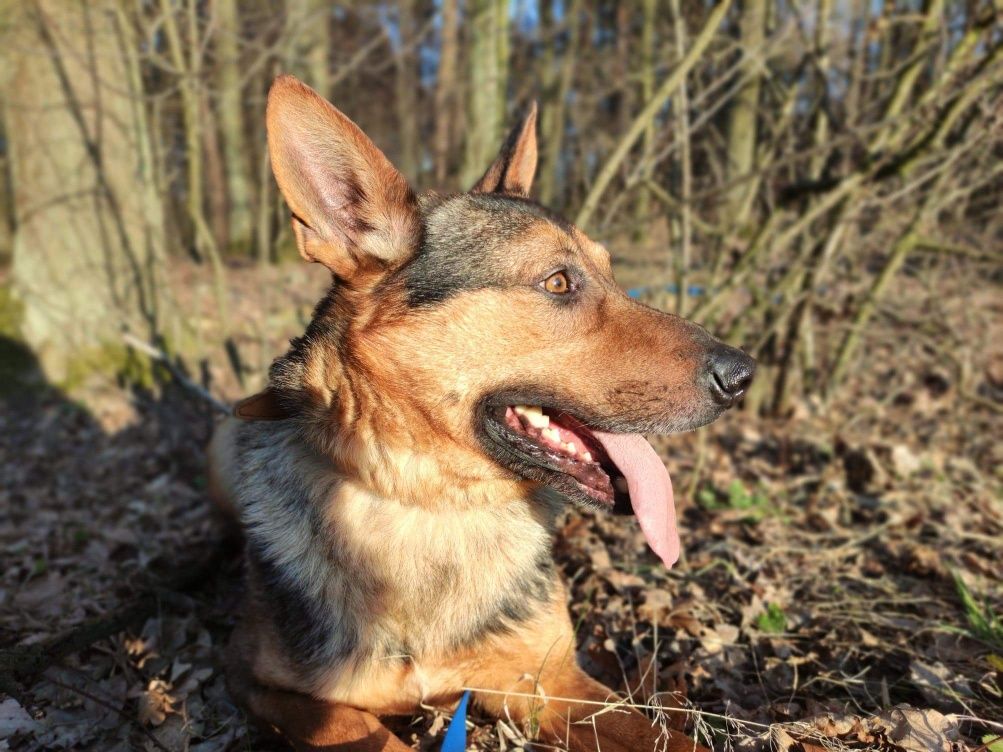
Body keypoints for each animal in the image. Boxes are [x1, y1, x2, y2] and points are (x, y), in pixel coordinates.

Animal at [209, 72, 754, 752]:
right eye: (558, 282)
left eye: (610, 274)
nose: (743, 375)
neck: (434, 500)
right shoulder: (260, 682)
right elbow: (359, 726)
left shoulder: (554, 685)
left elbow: (662, 736)